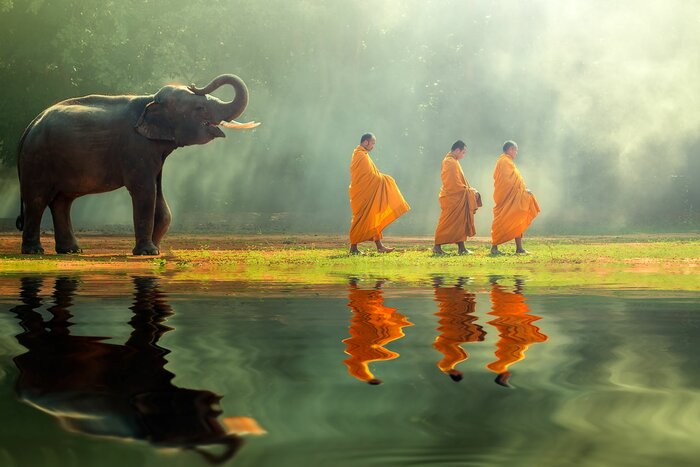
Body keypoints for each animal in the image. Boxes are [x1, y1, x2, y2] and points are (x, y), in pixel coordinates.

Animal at [15, 74, 259, 255]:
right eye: (200, 108)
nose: (193, 84)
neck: (150, 99)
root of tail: (30, 125)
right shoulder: (137, 147)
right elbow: (145, 191)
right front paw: (148, 252)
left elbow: (158, 195)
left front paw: (156, 250)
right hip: (37, 158)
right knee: (37, 199)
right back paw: (34, 251)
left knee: (62, 201)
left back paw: (72, 251)